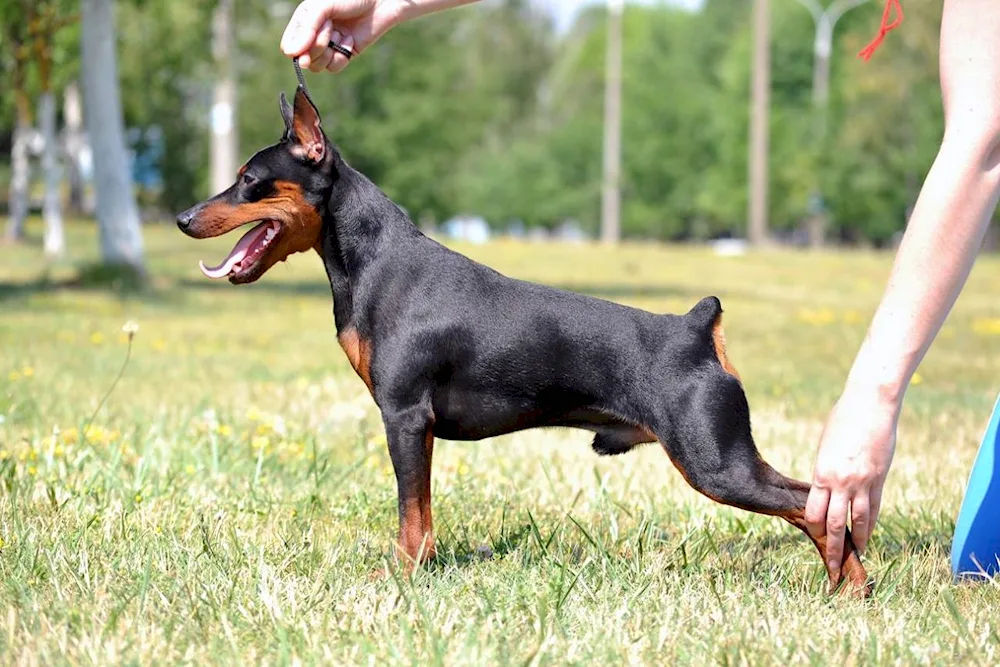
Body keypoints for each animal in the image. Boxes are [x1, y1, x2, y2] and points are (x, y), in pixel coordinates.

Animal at [178, 87, 868, 596]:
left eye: (248, 180)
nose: (184, 219)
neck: (373, 262)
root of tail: (698, 327)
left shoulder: (406, 417)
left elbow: (411, 513)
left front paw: (402, 576)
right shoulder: (414, 424)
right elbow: (419, 512)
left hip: (714, 462)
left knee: (809, 505)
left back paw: (851, 587)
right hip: (727, 457)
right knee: (816, 501)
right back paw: (848, 587)